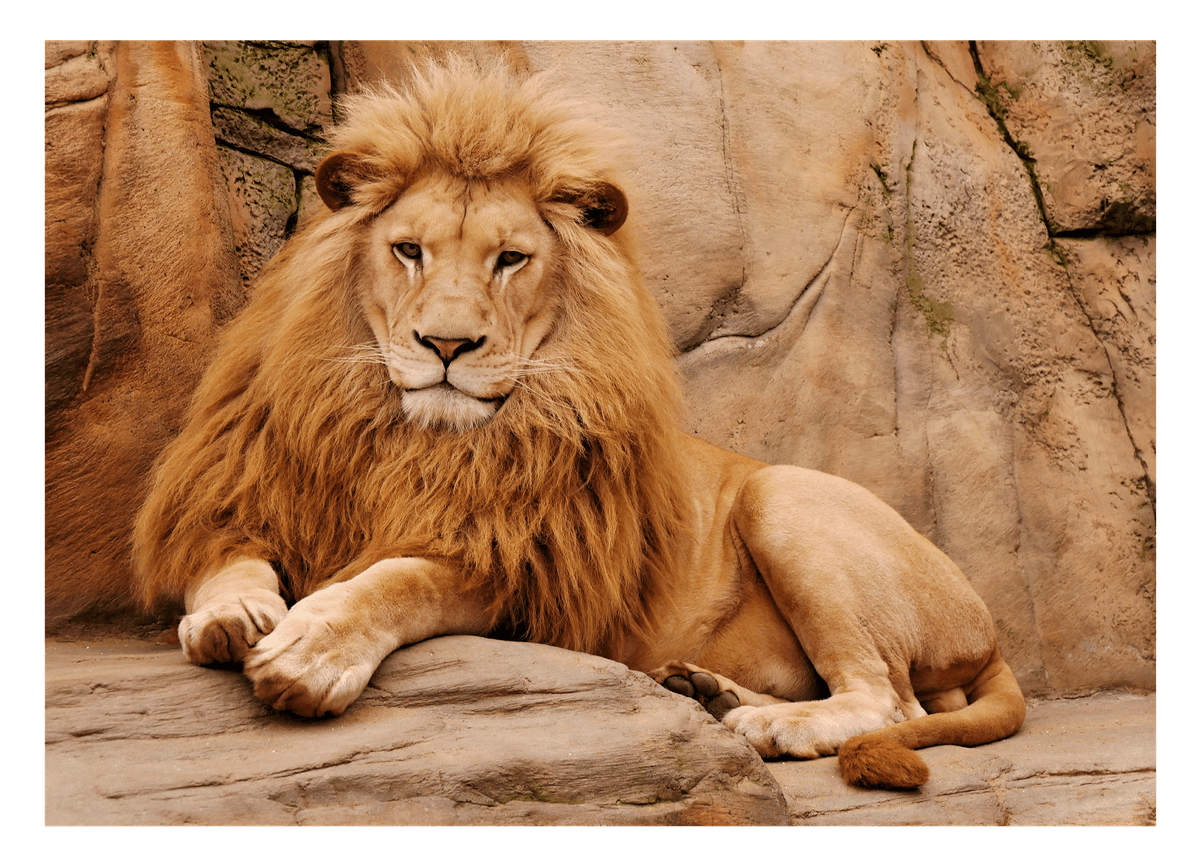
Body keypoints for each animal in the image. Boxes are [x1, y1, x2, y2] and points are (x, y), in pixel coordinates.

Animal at [133, 59, 1025, 790]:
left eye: (510, 259)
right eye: (409, 250)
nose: (446, 346)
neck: (410, 437)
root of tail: (988, 632)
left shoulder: (519, 568)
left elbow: (399, 580)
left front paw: (310, 651)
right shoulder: (244, 491)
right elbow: (228, 558)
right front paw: (230, 616)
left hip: (784, 498)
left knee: (892, 701)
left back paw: (768, 724)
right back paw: (704, 691)